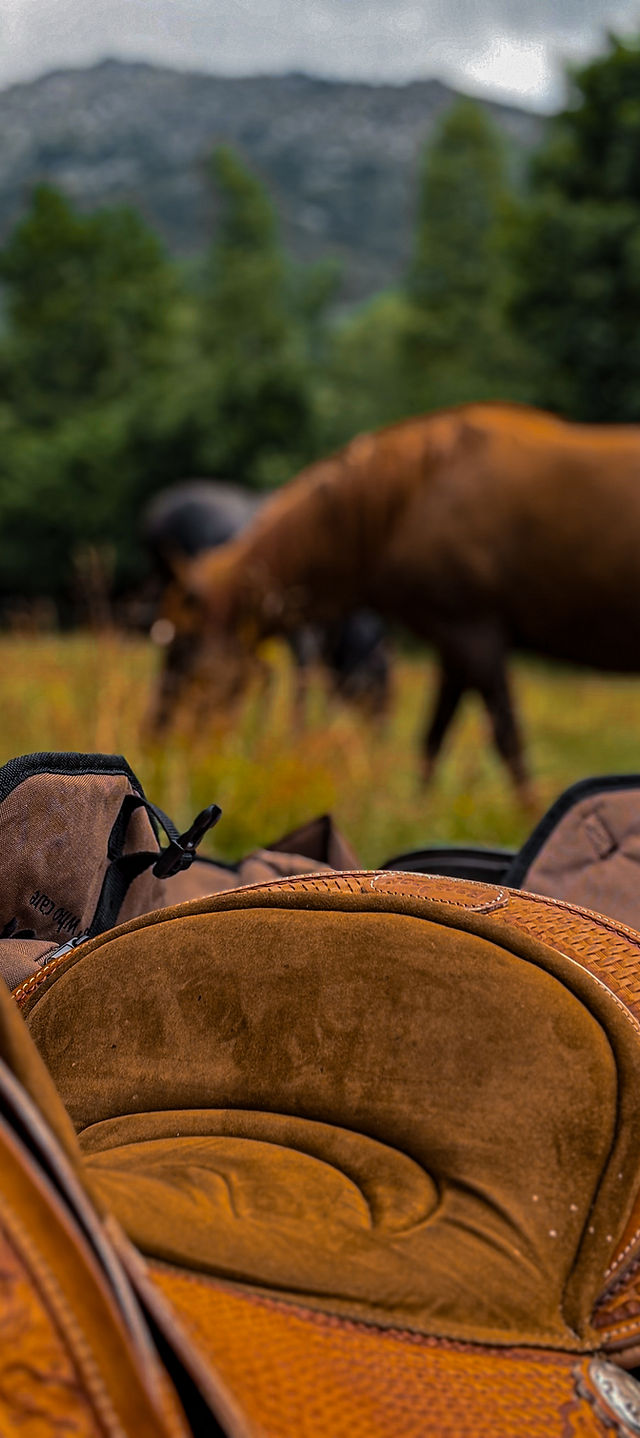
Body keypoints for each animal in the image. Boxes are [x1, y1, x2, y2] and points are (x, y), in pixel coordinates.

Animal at [149, 404, 640, 799]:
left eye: (182, 646)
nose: (157, 740)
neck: (408, 500)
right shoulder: (454, 644)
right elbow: (433, 739)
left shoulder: (474, 633)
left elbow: (506, 739)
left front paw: (527, 815)